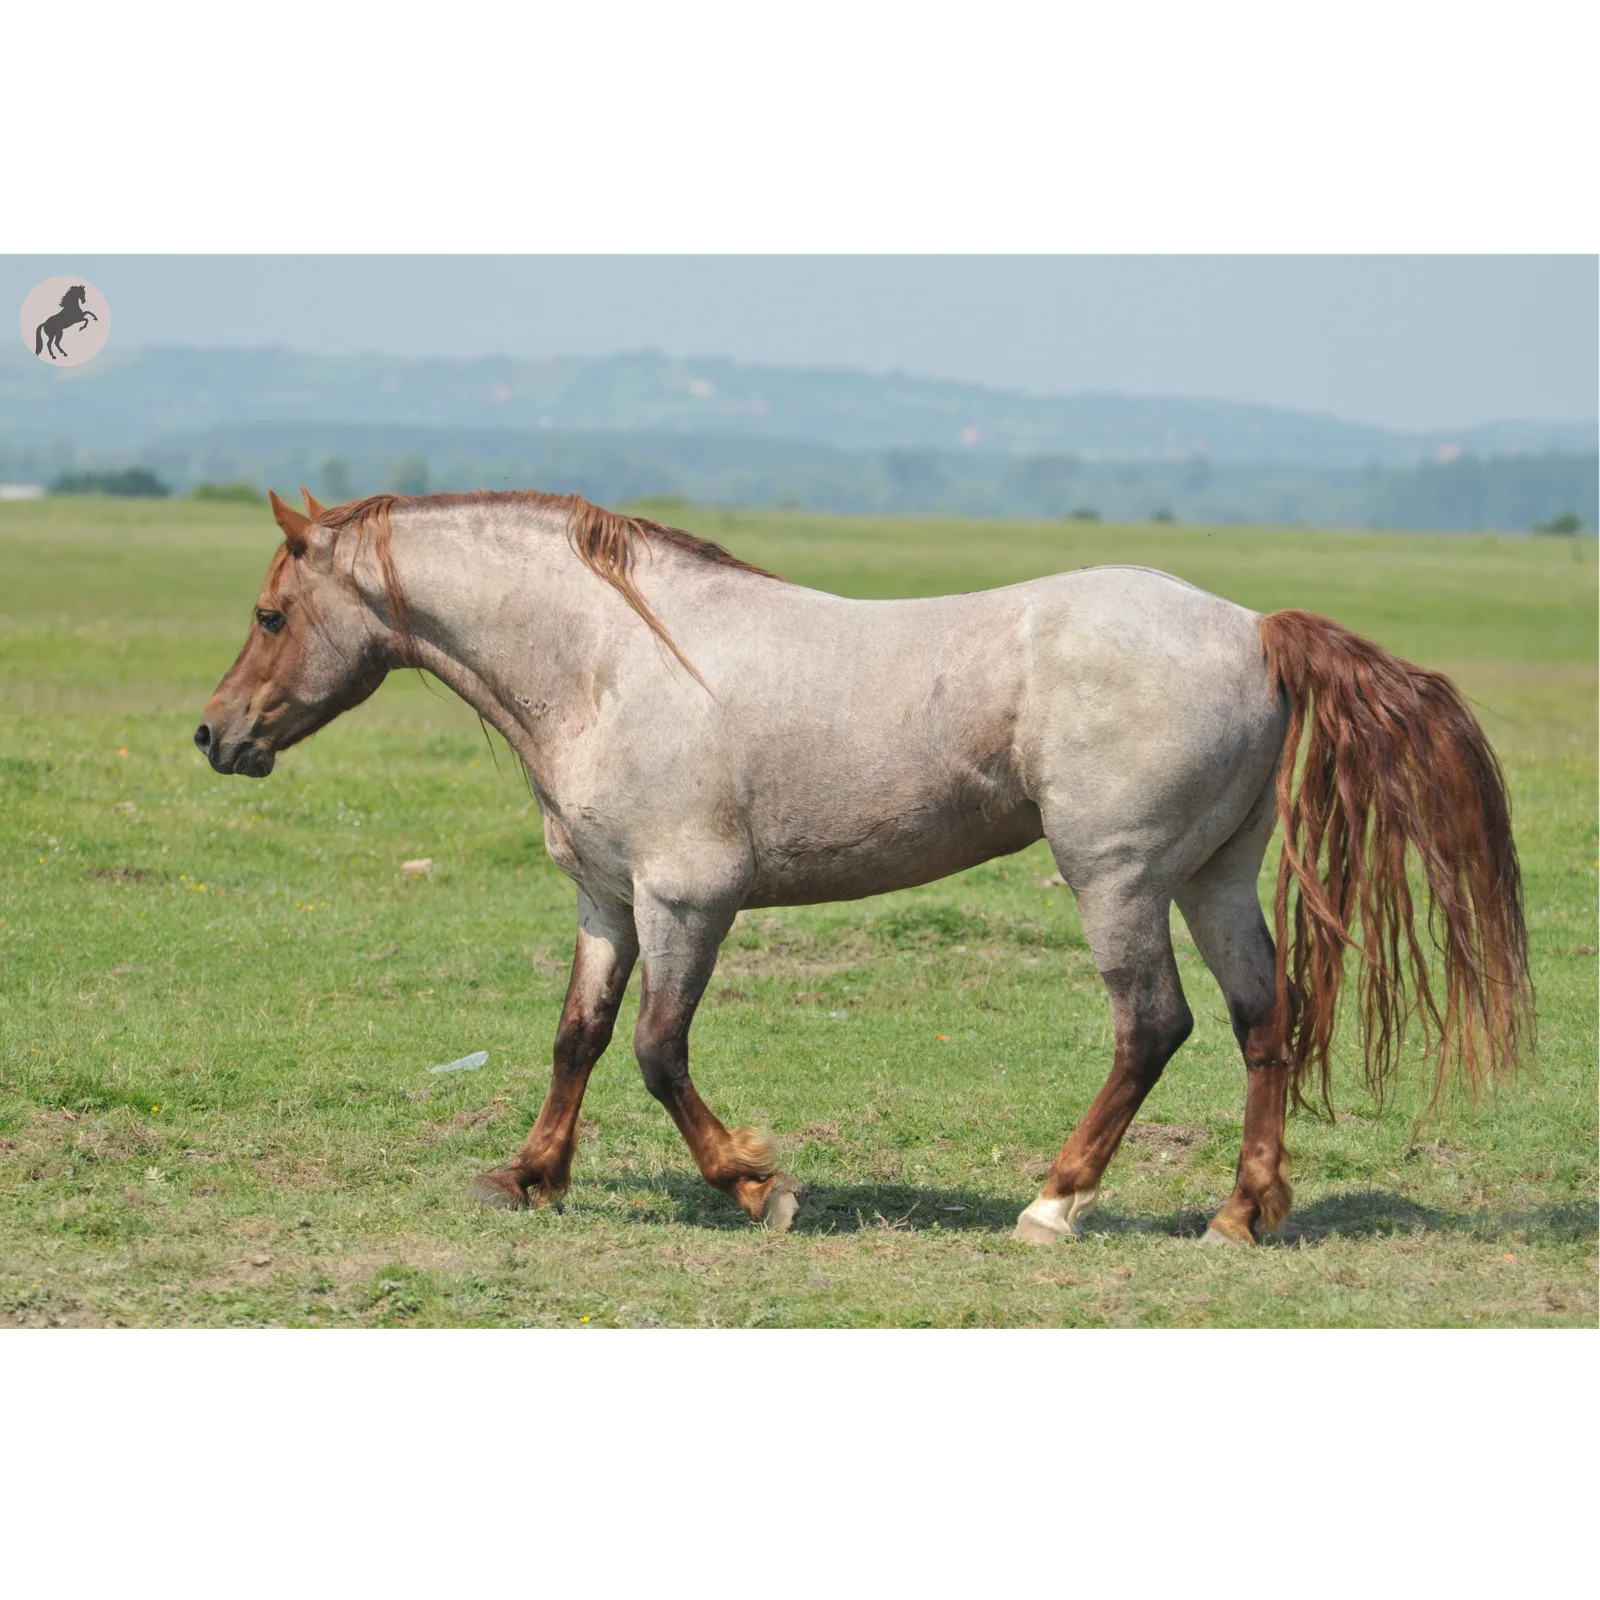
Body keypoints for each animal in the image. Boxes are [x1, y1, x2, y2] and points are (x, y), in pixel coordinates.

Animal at [195, 487, 1533, 1243]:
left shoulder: (689, 899)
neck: (609, 663)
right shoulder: (606, 901)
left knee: (1152, 1025)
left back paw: (1054, 1202)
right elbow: (576, 1036)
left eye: (268, 616)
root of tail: (1252, 628)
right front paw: (528, 1177)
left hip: (1116, 880)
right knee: (1264, 1021)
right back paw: (1242, 1214)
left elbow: (657, 1051)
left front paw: (756, 1186)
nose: (215, 735)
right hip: (1211, 879)